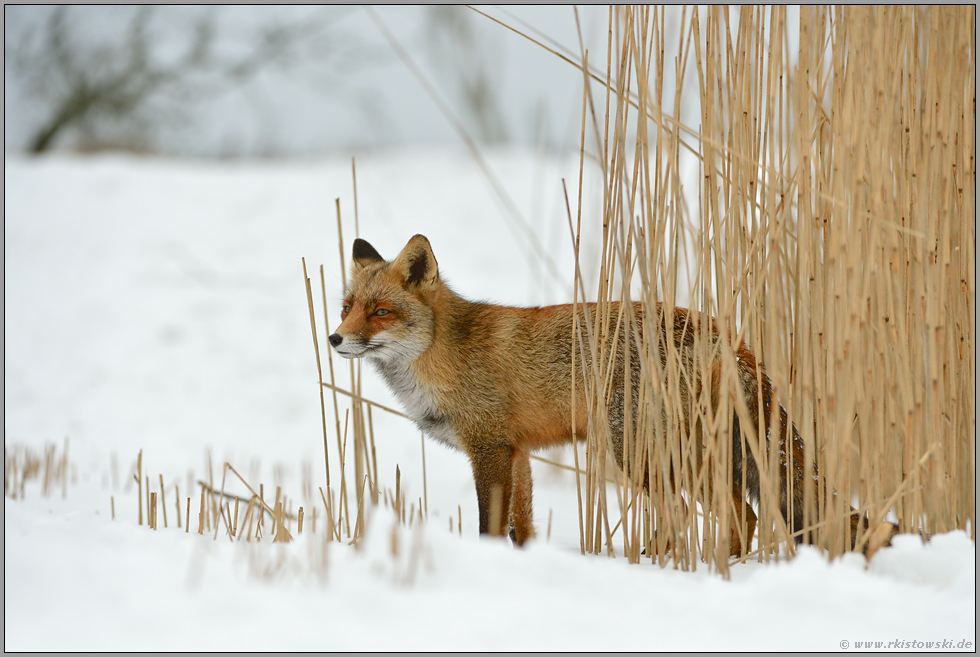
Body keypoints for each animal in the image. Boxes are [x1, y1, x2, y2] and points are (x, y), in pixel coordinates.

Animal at [328, 234, 895, 555]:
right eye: (347, 307)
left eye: (380, 312)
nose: (334, 339)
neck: (443, 353)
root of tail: (723, 333)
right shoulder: (519, 453)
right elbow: (521, 527)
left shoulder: (489, 448)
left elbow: (491, 525)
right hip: (694, 453)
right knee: (745, 514)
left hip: (641, 453)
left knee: (705, 515)